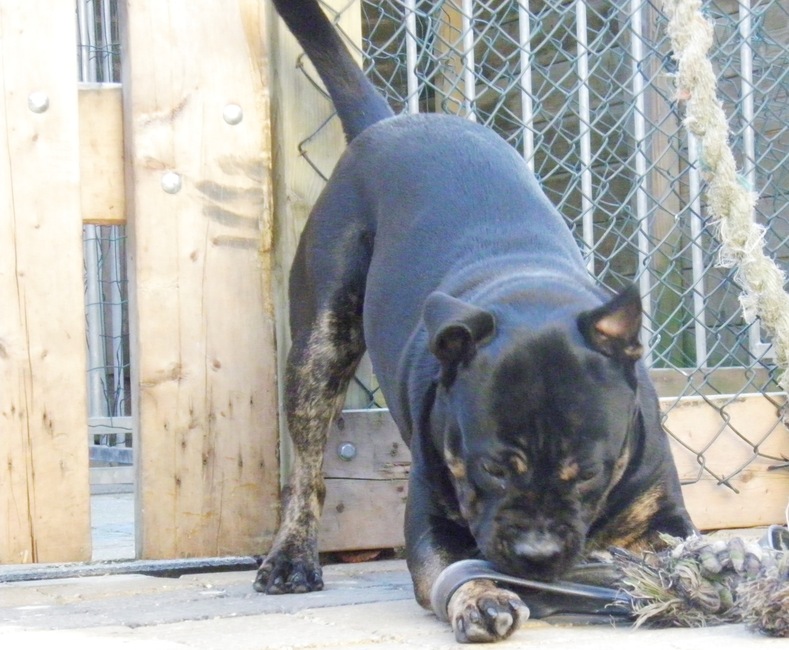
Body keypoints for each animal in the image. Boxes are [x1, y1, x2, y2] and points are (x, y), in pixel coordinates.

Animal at [255, 0, 696, 642]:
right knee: (307, 466)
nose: (537, 554)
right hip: (318, 346)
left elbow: (680, 554)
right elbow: (453, 569)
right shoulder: (431, 521)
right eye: (493, 467)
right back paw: (291, 557)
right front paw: (481, 598)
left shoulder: (665, 515)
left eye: (588, 472)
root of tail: (387, 123)